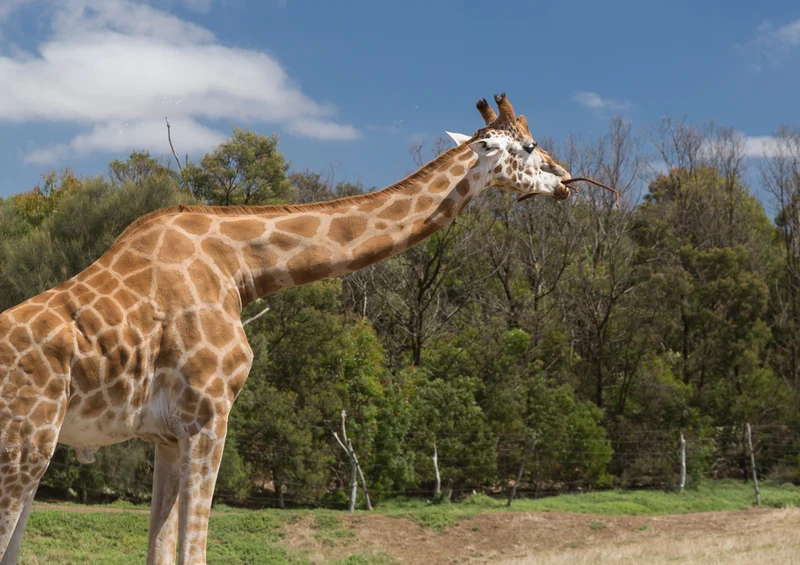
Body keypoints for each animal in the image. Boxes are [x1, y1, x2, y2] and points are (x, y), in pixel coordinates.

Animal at [0, 93, 573, 564]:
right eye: (529, 145)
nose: (566, 179)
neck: (239, 267)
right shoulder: (209, 415)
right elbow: (194, 551)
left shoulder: (165, 434)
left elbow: (160, 552)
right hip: (24, 443)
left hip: (37, 451)